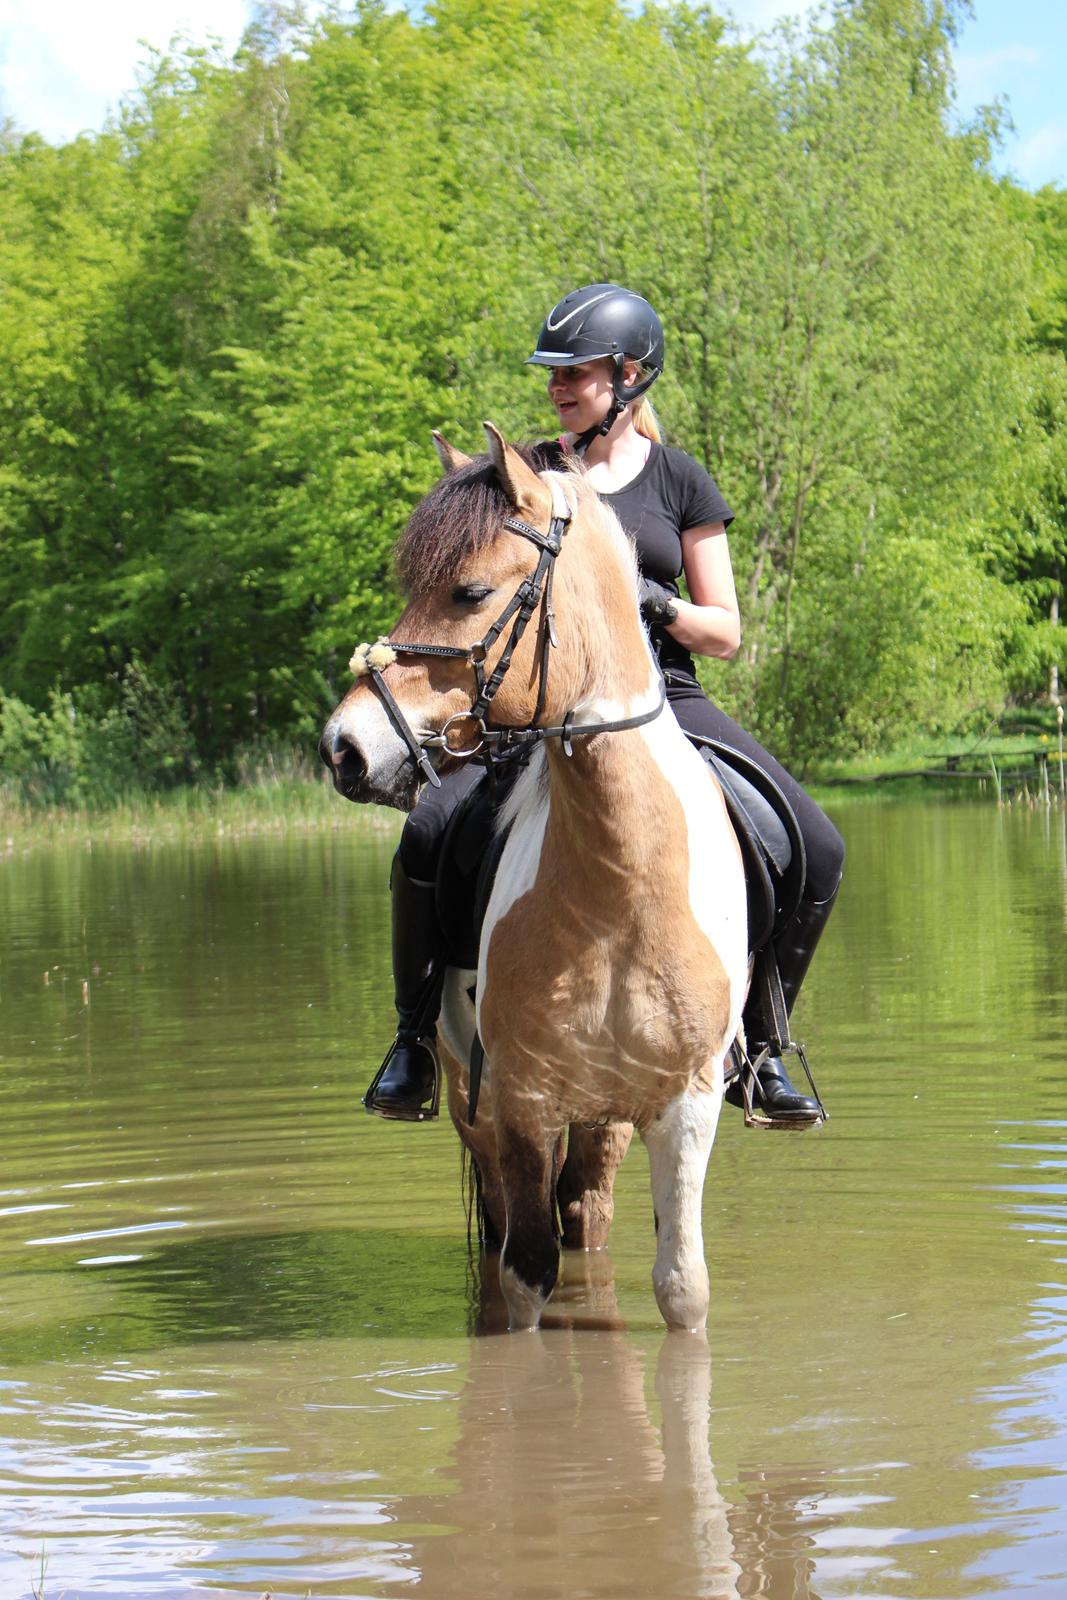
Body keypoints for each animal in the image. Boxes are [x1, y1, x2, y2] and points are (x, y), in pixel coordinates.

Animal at [321, 428, 748, 1337]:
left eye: (469, 590)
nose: (344, 748)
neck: (619, 887)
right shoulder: (518, 1102)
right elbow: (521, 1284)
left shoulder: (684, 1109)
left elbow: (681, 1288)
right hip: (472, 1098)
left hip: (605, 1122)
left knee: (585, 1215)